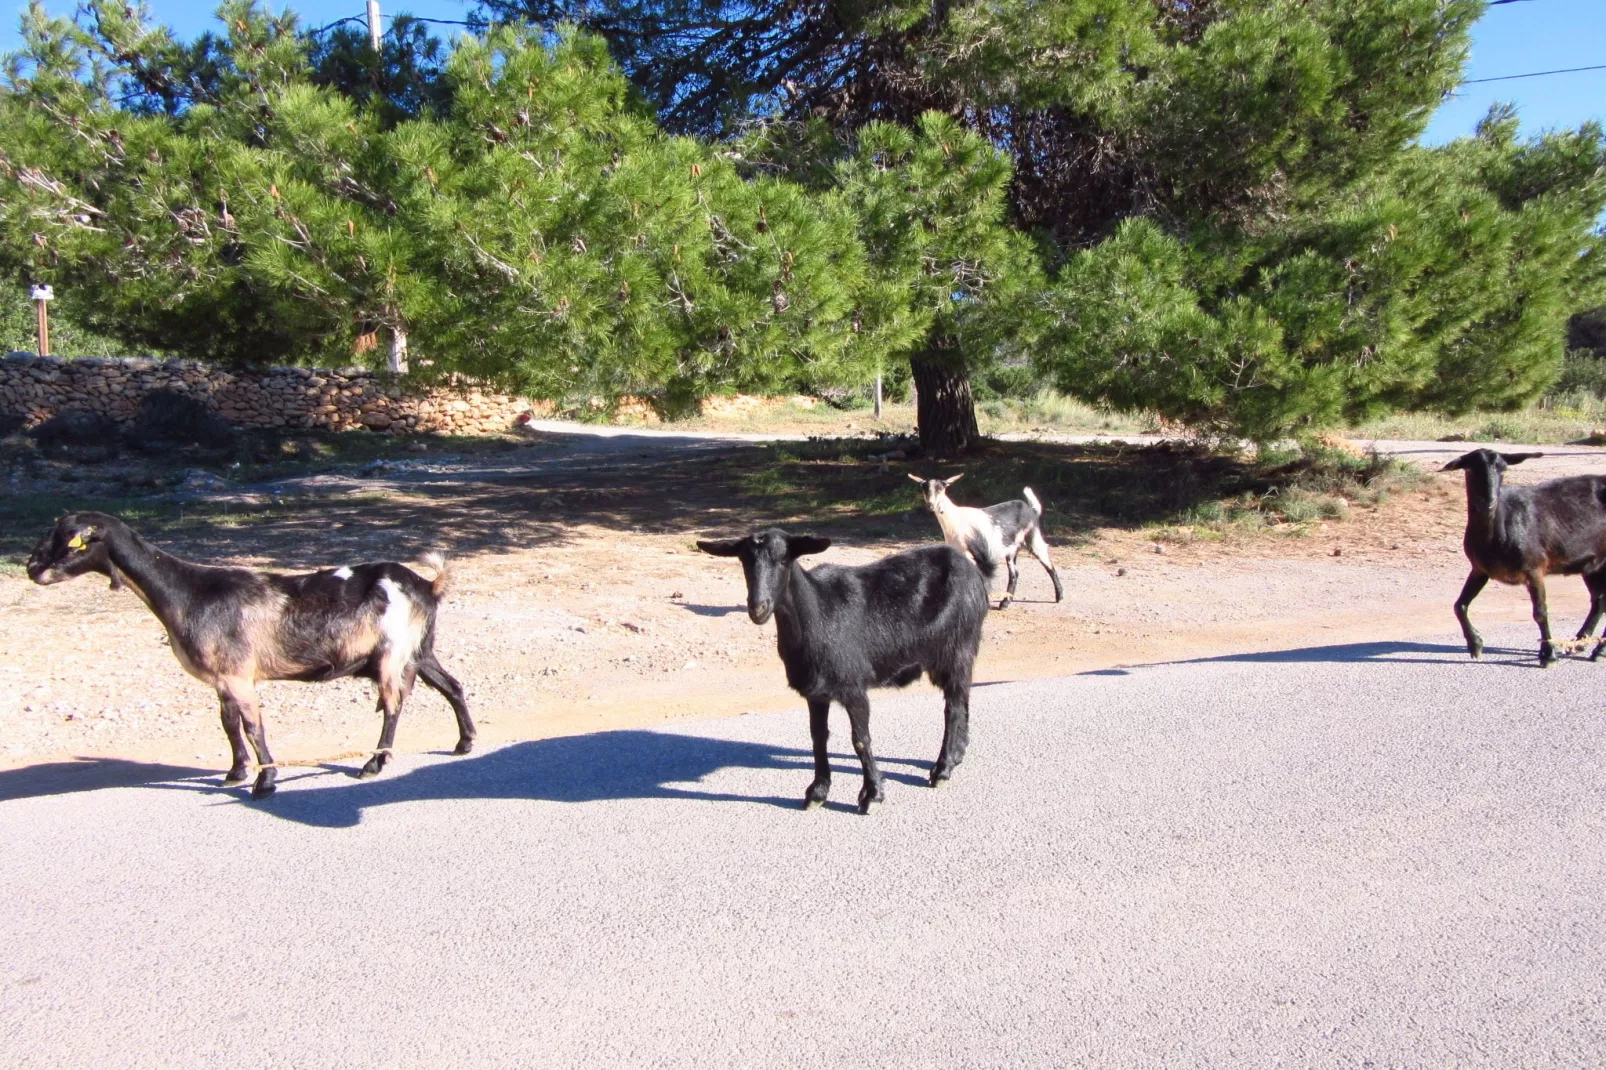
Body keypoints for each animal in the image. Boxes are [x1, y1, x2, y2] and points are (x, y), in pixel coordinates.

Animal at [26, 514, 468, 796]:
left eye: (69, 540)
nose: (32, 568)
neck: (188, 592)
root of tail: (427, 585)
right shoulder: (222, 679)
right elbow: (228, 724)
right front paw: (235, 772)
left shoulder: (238, 675)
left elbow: (254, 727)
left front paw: (264, 782)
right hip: (419, 649)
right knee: (452, 685)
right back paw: (465, 742)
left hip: (393, 652)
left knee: (394, 703)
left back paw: (373, 764)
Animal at [700, 530, 989, 812]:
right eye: (743, 561)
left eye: (784, 559)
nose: (758, 608)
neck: (818, 612)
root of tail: (976, 574)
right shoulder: (815, 692)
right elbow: (818, 737)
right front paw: (817, 791)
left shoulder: (854, 685)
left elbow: (861, 739)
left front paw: (872, 794)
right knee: (962, 697)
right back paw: (959, 753)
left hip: (957, 648)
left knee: (952, 708)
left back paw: (942, 768)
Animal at [1438, 446, 1606, 661]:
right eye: (1470, 469)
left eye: (1503, 470)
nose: (1489, 502)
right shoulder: (1480, 569)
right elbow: (1459, 605)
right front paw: (1475, 644)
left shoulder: (1534, 568)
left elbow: (1540, 612)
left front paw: (1548, 654)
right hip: (1593, 564)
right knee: (1598, 602)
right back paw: (1579, 644)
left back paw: (1596, 649)